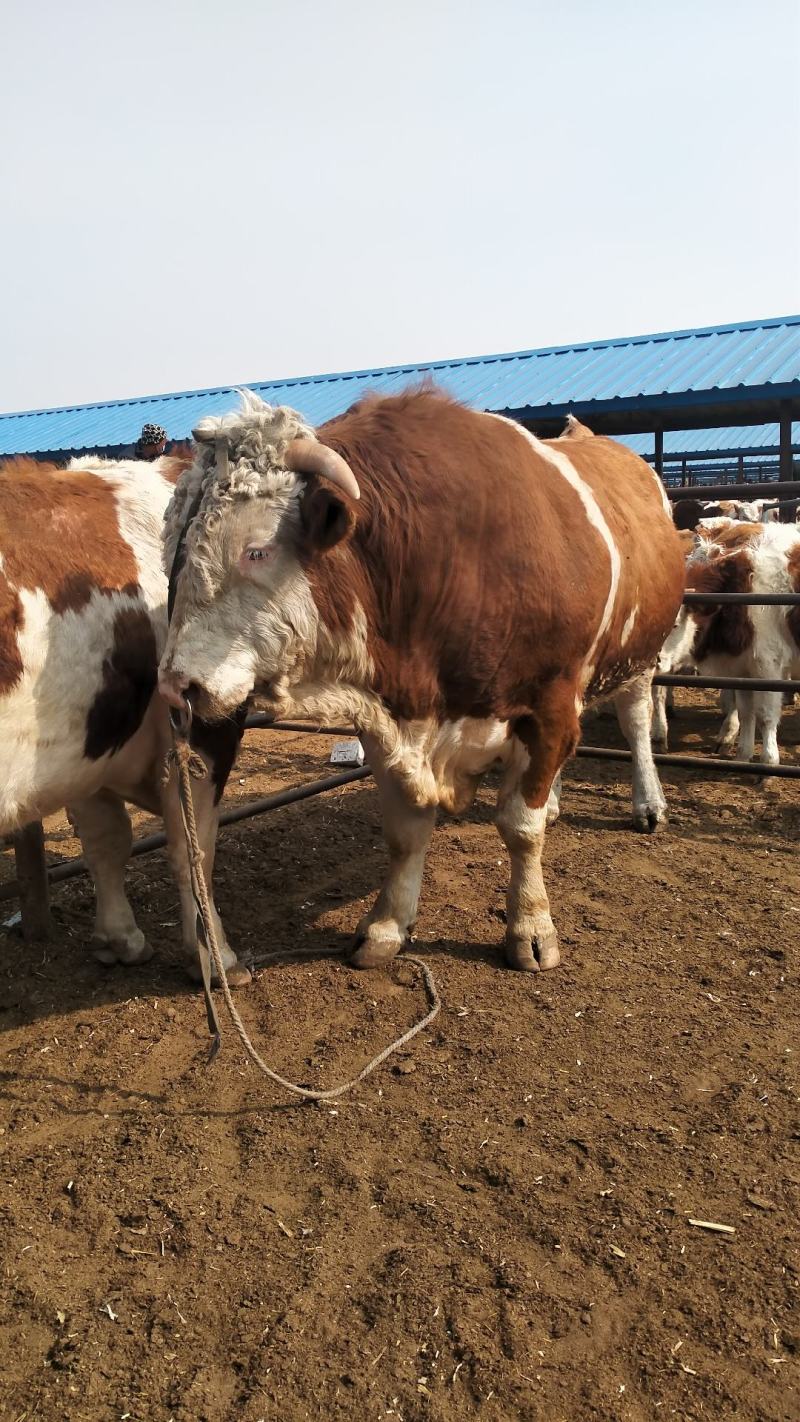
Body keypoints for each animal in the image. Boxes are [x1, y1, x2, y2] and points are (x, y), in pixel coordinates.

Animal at [0, 457, 248, 989]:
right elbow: (192, 847)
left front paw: (119, 939)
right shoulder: (200, 732)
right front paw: (214, 956)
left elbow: (106, 841)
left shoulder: (83, 745)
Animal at [159, 386, 684, 966]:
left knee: (635, 722)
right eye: (174, 553)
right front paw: (387, 925)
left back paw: (648, 802)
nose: (177, 685)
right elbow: (407, 830)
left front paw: (530, 927)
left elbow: (519, 828)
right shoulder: (390, 717)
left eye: (256, 550)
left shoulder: (546, 704)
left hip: (639, 657)